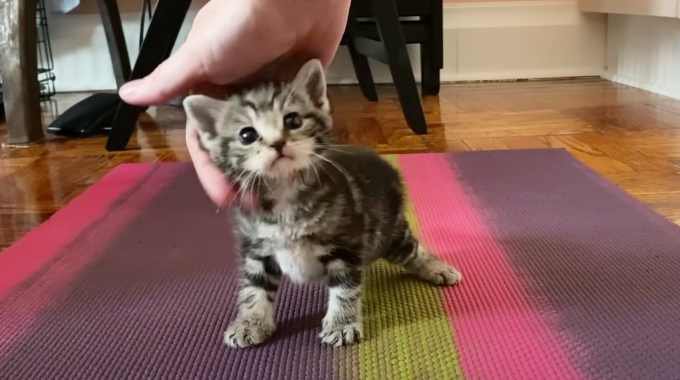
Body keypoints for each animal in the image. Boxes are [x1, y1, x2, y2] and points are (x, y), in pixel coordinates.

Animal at [183, 59, 460, 348]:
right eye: (247, 135)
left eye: (293, 119)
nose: (277, 143)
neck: (285, 195)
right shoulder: (256, 248)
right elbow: (254, 287)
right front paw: (251, 322)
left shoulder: (344, 246)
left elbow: (345, 289)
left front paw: (341, 323)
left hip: (388, 235)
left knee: (411, 249)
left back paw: (436, 268)